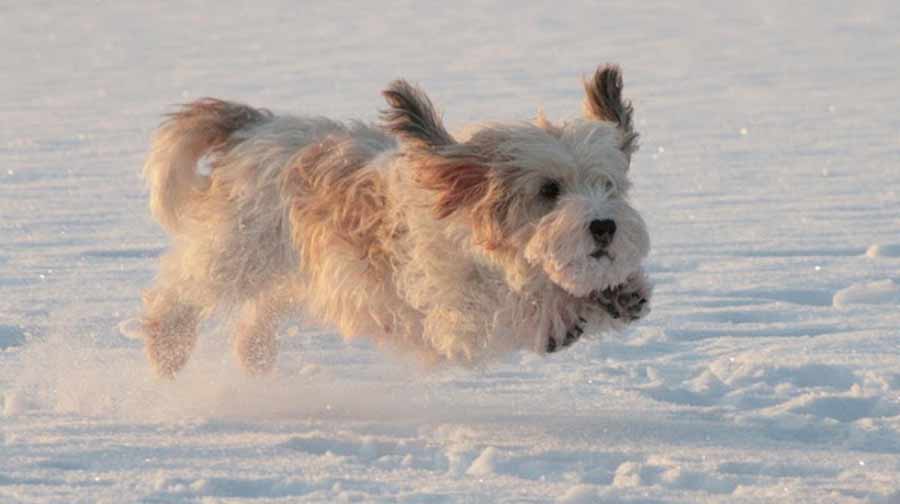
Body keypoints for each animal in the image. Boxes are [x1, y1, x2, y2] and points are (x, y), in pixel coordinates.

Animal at [141, 64, 652, 378]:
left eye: (608, 185)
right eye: (548, 190)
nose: (603, 226)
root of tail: (256, 126)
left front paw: (619, 292)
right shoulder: (456, 314)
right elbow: (512, 306)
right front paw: (560, 311)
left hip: (290, 267)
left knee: (258, 310)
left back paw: (254, 355)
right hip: (237, 249)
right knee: (179, 292)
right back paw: (167, 348)